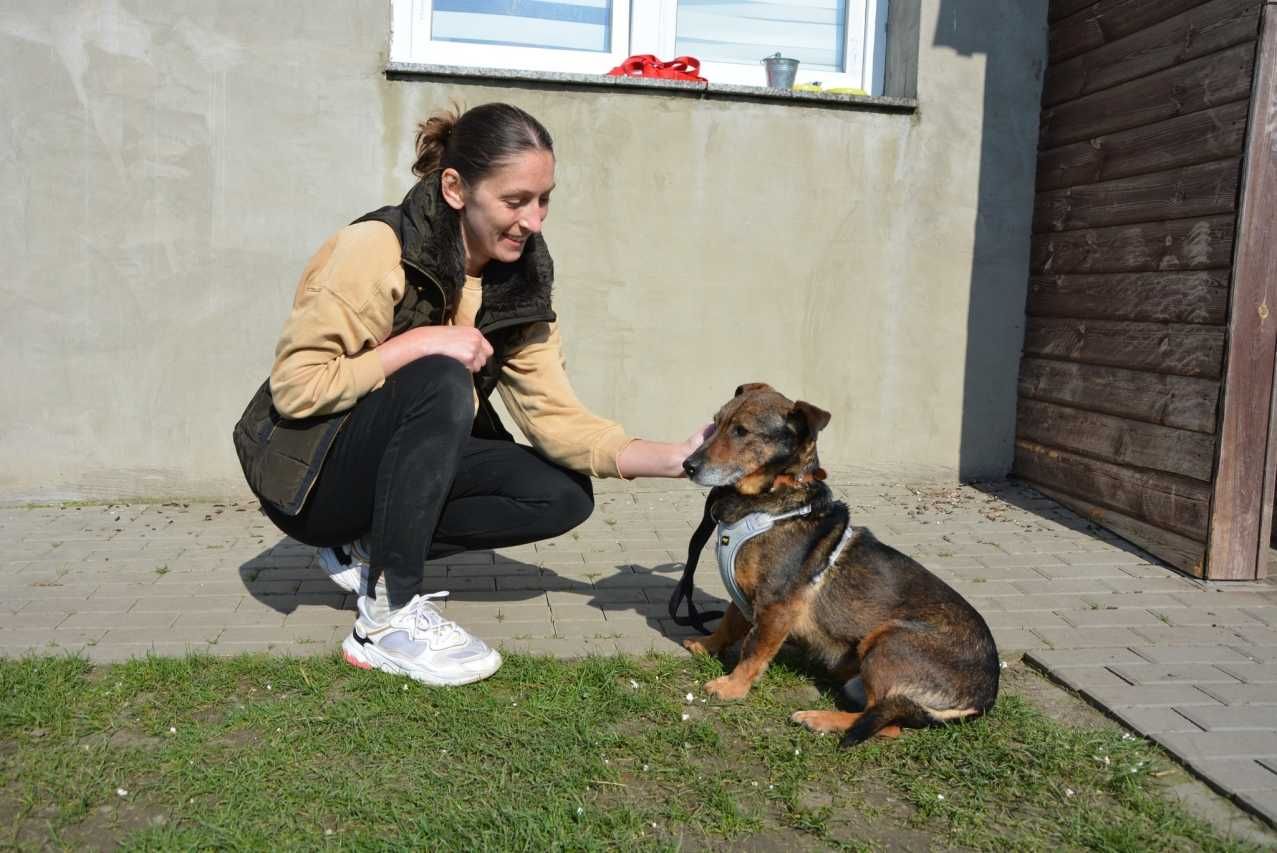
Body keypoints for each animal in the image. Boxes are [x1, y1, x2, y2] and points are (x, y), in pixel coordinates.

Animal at [684, 385, 1001, 745]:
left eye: (741, 431)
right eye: (716, 422)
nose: (687, 465)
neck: (771, 498)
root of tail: (985, 696)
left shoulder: (776, 607)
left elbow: (753, 650)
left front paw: (732, 687)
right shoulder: (745, 596)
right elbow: (727, 624)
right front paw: (706, 645)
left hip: (887, 640)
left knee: (886, 724)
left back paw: (817, 718)